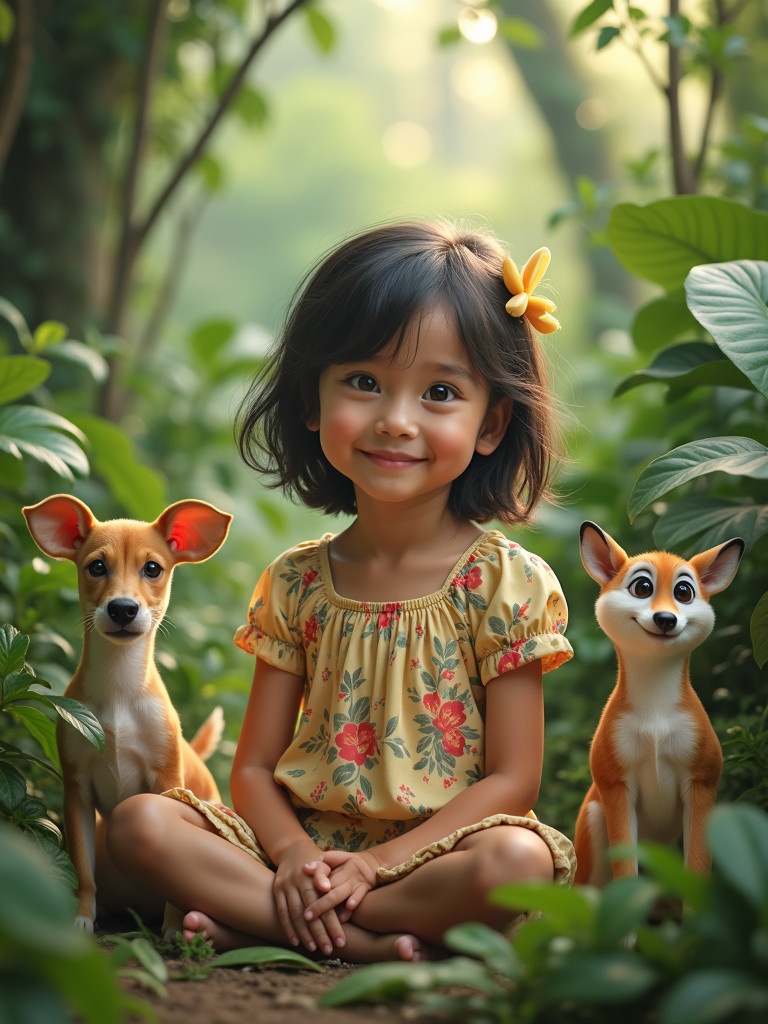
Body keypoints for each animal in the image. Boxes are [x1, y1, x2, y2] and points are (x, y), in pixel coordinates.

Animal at [22, 491, 233, 933]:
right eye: (96, 566)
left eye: (152, 568)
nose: (122, 608)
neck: (119, 689)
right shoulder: (77, 788)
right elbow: (83, 868)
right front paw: (82, 919)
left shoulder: (167, 781)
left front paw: (173, 926)